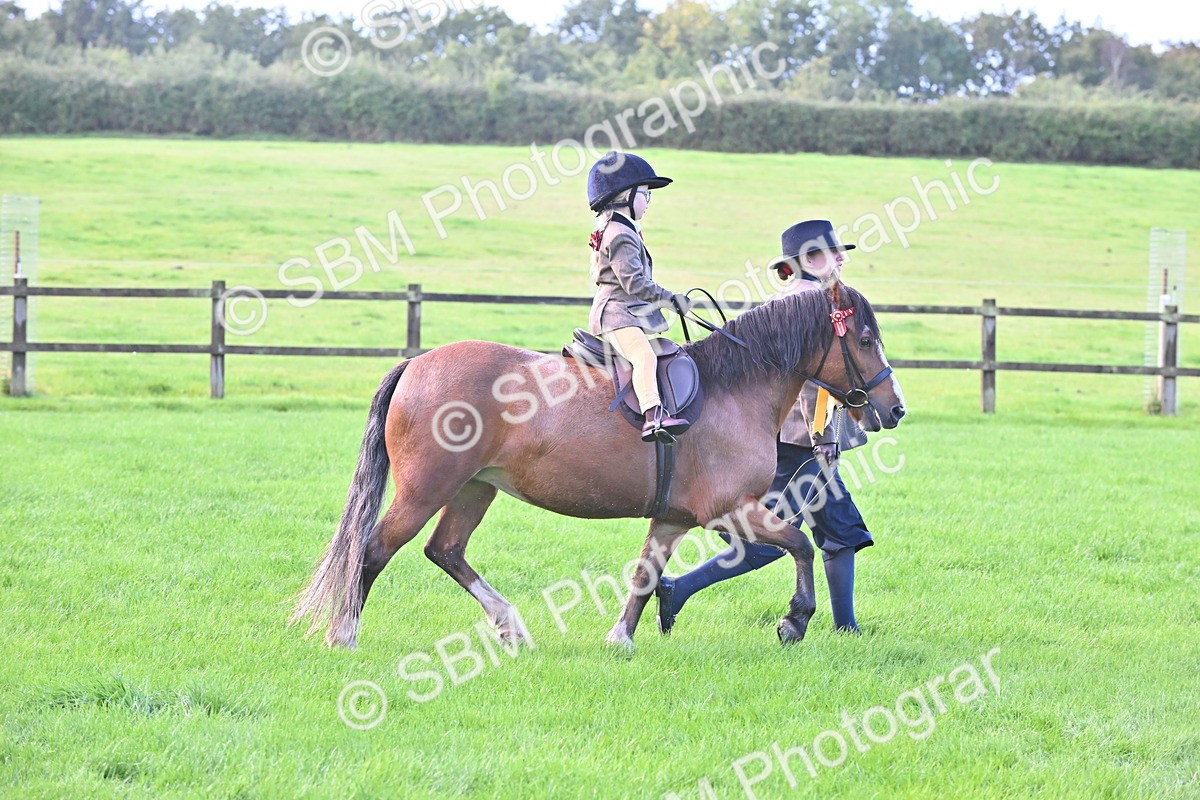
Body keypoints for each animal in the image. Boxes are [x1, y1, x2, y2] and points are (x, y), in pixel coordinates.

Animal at [291, 282, 905, 650]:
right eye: (865, 338)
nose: (894, 408)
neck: (737, 389)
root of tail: (417, 364)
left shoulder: (674, 518)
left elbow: (645, 575)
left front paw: (621, 639)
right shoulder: (731, 510)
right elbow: (799, 546)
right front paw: (794, 620)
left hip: (474, 488)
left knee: (445, 551)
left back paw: (511, 626)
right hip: (426, 489)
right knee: (373, 549)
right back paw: (345, 636)